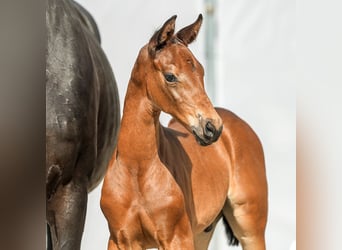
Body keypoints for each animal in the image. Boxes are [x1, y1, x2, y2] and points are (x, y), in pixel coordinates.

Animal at [100, 14, 268, 250]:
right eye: (170, 76)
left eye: (202, 71)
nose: (212, 127)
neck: (136, 169)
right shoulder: (119, 240)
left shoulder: (176, 237)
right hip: (202, 234)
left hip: (250, 228)